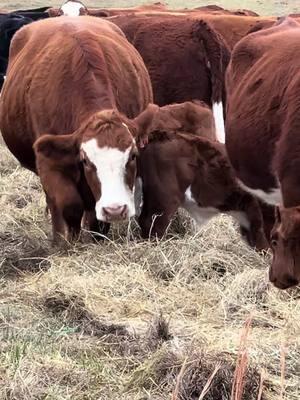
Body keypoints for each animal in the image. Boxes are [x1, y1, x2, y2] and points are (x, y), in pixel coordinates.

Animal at [0, 16, 154, 244]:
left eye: (133, 156)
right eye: (86, 161)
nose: (115, 210)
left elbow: (93, 214)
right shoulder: (49, 162)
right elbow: (67, 204)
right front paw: (63, 242)